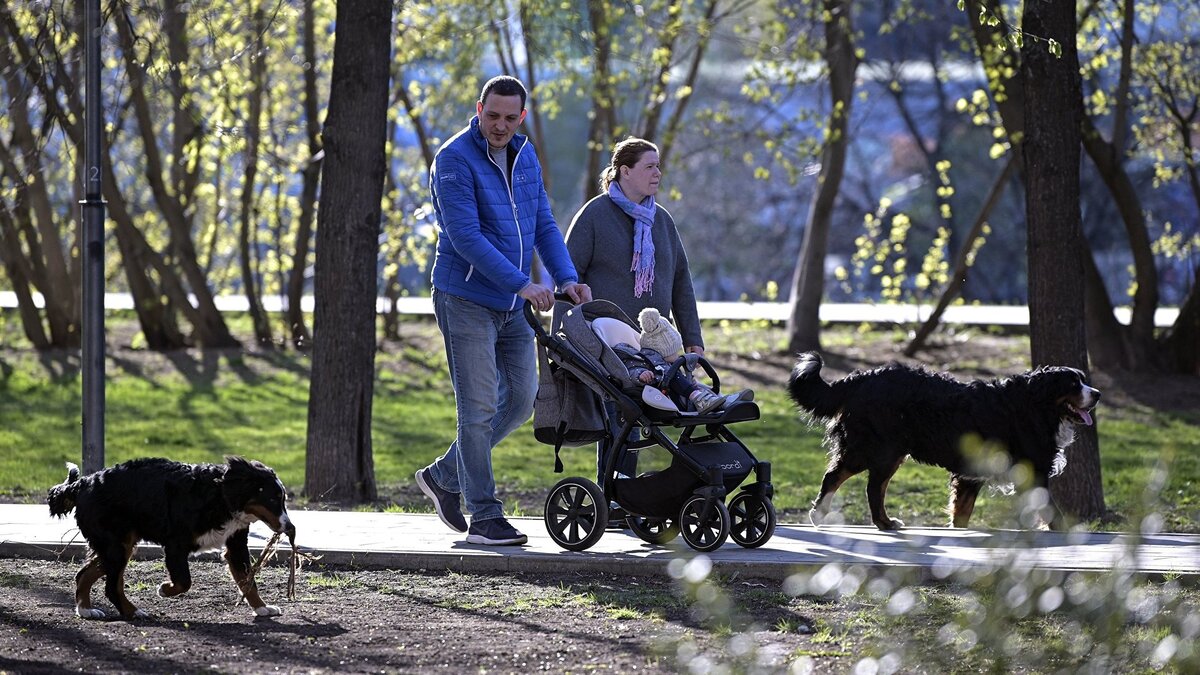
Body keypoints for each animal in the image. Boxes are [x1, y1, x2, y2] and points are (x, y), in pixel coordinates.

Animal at [47, 454, 295, 619]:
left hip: (119, 546)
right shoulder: (176, 545)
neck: (220, 495)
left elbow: (248, 581)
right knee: (111, 587)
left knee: (84, 575)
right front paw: (165, 589)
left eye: (282, 499)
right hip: (115, 546)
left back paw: (86, 610)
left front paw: (262, 608)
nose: (290, 526)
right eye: (273, 499)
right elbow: (184, 581)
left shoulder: (235, 546)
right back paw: (133, 612)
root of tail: (82, 484)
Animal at [787, 348, 1099, 528]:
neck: (1035, 406)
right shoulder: (1034, 473)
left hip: (887, 452)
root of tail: (861, 378)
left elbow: (961, 514)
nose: (1096, 394)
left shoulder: (971, 476)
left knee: (866, 485)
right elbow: (1052, 511)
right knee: (853, 482)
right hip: (878, 450)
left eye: (1083, 380)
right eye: (1074, 383)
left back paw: (877, 522)